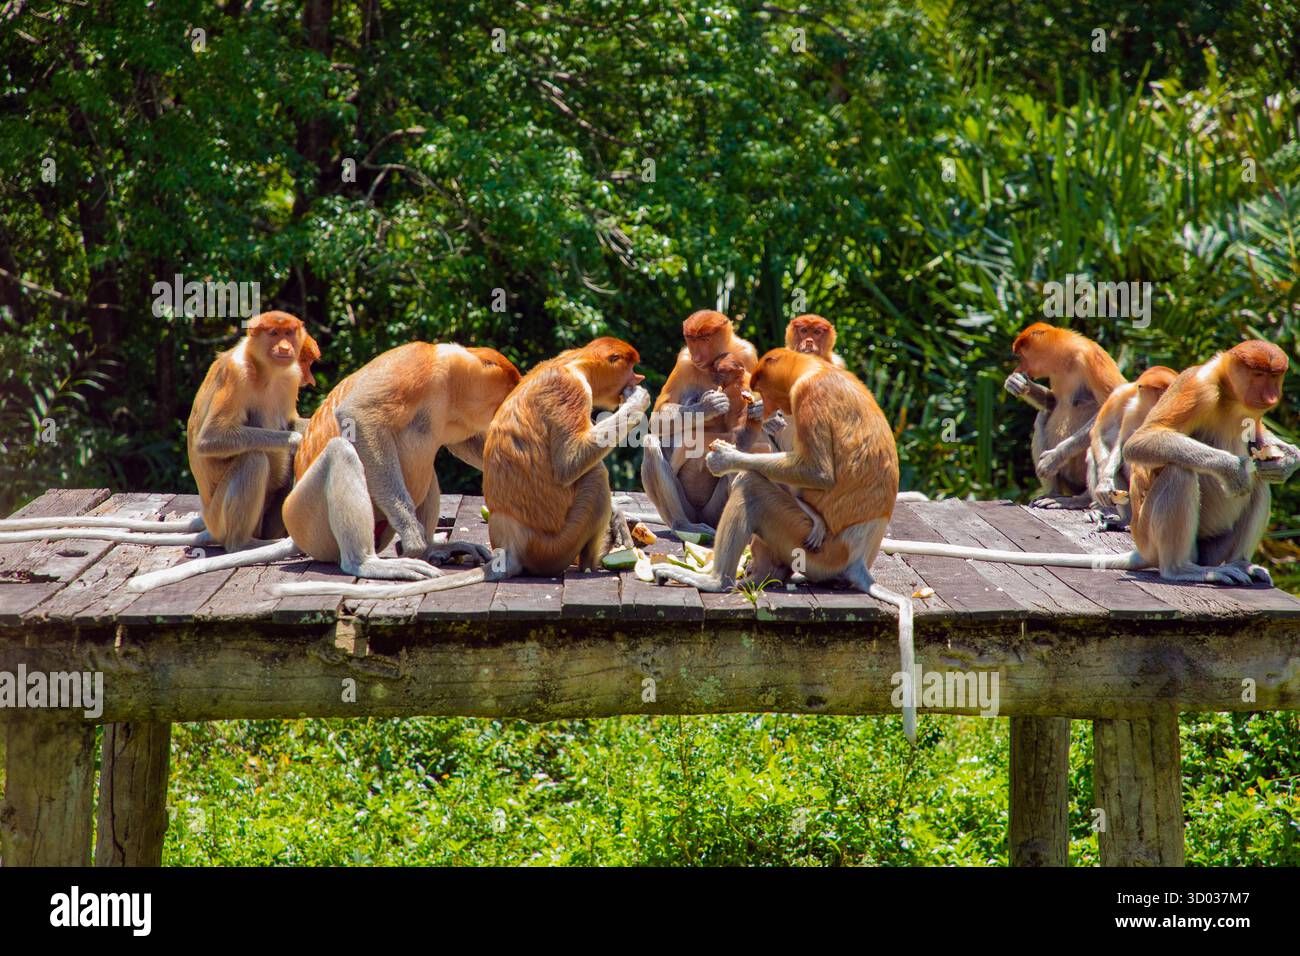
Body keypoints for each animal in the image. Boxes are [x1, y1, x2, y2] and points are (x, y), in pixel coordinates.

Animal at [0, 312, 320, 547]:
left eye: (289, 333)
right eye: (274, 333)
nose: (285, 349)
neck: (265, 370)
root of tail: (209, 521)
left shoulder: (289, 376)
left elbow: (289, 418)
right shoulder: (236, 374)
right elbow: (210, 439)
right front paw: (296, 439)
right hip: (220, 516)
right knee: (253, 459)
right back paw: (243, 544)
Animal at [127, 342, 521, 591]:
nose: (504, 409)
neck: (447, 380)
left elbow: (462, 443)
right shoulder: (412, 367)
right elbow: (357, 417)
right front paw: (413, 537)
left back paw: (434, 551)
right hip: (307, 518)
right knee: (341, 452)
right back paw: (375, 561)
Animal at [648, 348, 918, 740]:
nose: (765, 407)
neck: (814, 368)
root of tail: (857, 560)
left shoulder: (809, 397)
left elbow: (817, 473)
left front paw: (725, 456)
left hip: (813, 547)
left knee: (751, 487)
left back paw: (716, 580)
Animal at [1003, 322, 1126, 509]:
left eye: (1021, 357)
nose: (1018, 369)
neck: (1067, 356)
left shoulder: (1091, 358)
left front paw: (1052, 459)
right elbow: (1053, 401)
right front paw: (1017, 383)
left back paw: (1078, 500)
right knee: (1042, 416)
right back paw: (1053, 494)